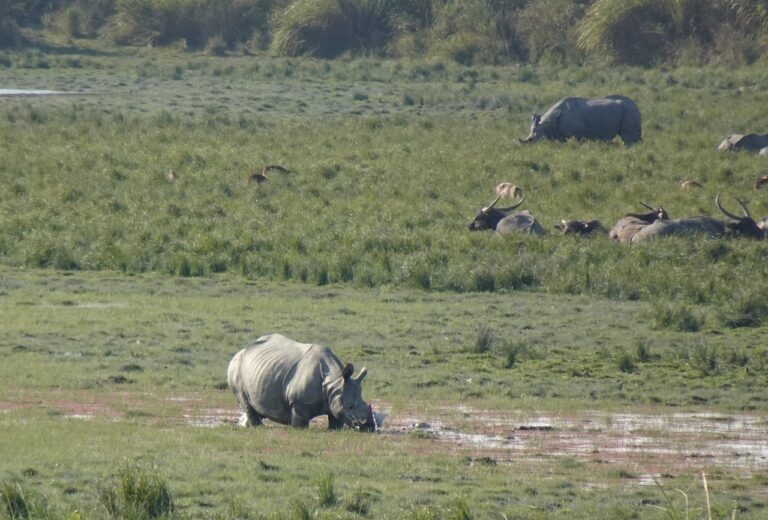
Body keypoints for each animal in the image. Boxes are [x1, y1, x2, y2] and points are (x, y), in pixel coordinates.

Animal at [225, 334, 376, 430]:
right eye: (350, 406)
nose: (368, 426)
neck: (335, 382)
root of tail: (243, 349)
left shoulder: (336, 398)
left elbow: (336, 418)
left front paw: (334, 429)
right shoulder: (299, 401)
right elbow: (300, 421)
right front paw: (298, 429)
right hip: (236, 365)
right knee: (244, 399)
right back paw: (258, 427)